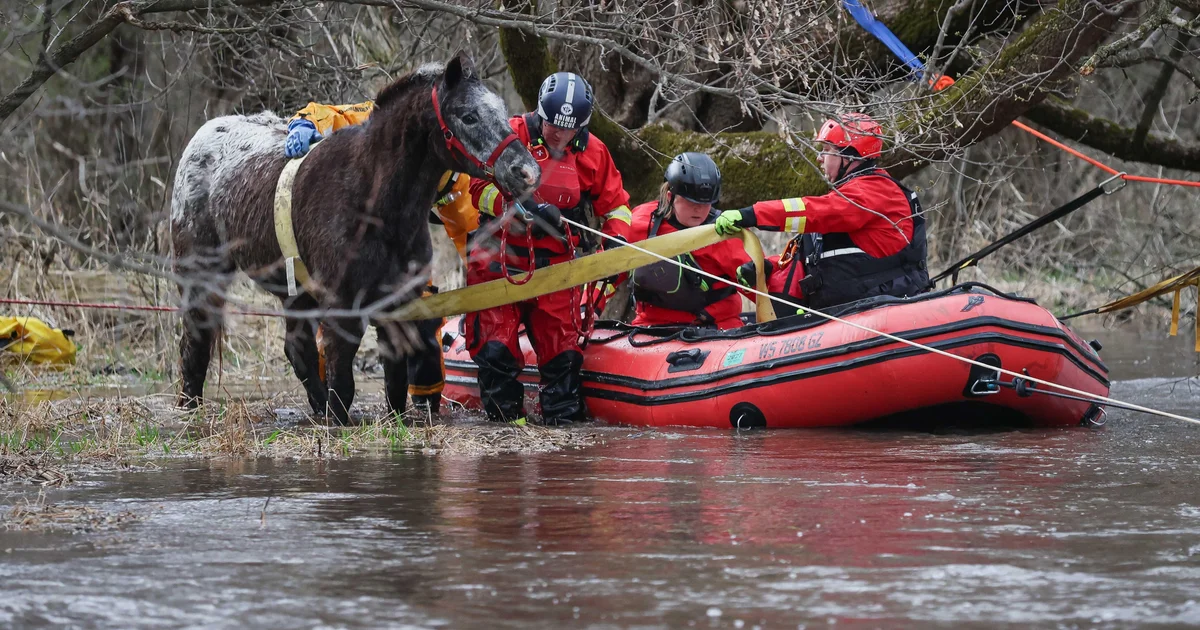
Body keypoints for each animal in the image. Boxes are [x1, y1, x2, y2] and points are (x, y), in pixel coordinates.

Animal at [169, 52, 539, 424]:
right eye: (468, 116)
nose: (527, 171)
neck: (370, 199)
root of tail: (201, 138)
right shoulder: (343, 308)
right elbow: (344, 384)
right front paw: (338, 421)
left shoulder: (398, 304)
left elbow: (395, 383)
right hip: (202, 276)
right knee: (195, 342)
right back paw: (190, 407)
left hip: (295, 294)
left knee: (297, 349)